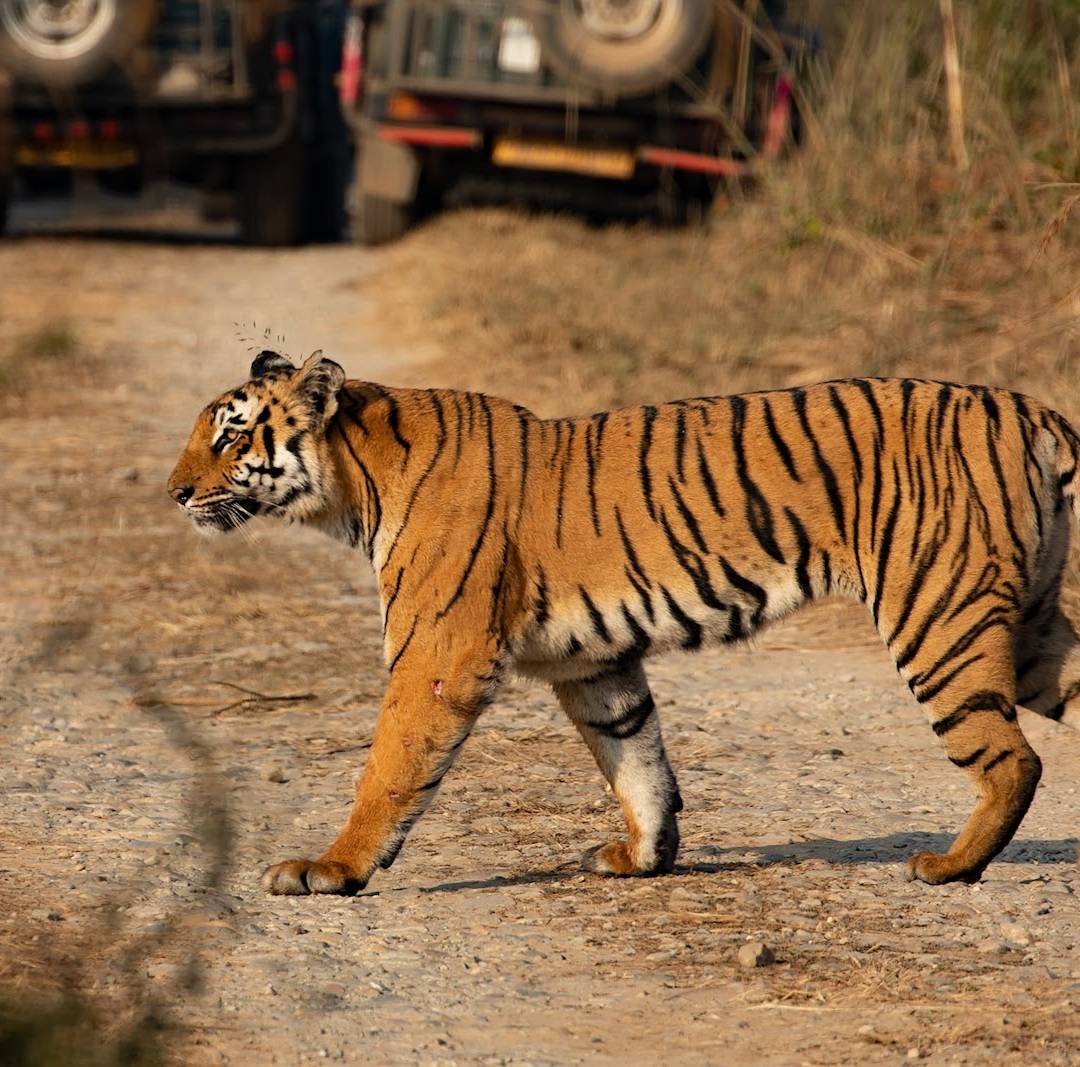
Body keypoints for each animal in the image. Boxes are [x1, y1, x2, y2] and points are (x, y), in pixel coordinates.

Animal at [168, 350, 1080, 895]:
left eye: (232, 438)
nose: (175, 492)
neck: (354, 484)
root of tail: (1030, 410)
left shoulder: (439, 654)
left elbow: (390, 768)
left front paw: (331, 868)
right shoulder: (593, 664)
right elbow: (636, 759)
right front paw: (641, 857)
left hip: (938, 618)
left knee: (1014, 759)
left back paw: (950, 865)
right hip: (1030, 627)